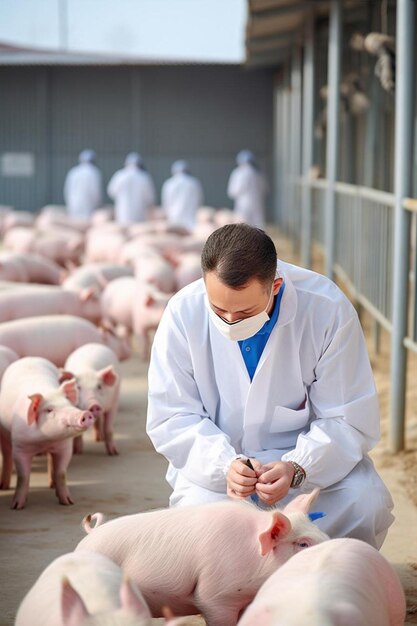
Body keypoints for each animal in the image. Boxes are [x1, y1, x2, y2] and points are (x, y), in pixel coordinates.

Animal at [0, 356, 94, 508]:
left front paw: (68, 502)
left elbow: (61, 473)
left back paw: (51, 485)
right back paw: (3, 486)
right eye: (49, 410)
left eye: (69, 404)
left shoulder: (64, 447)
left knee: (51, 460)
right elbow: (23, 476)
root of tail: (30, 358)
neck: (45, 440)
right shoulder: (20, 446)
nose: (85, 413)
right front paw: (17, 506)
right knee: (7, 455)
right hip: (4, 434)